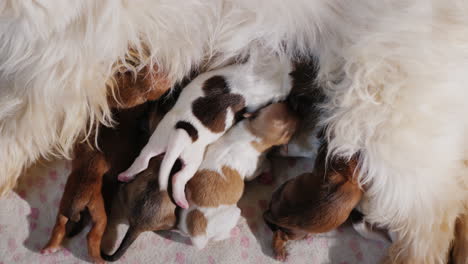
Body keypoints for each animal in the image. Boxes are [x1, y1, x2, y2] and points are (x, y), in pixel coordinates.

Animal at [41, 65, 171, 262]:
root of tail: (80, 196)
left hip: (64, 205)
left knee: (59, 226)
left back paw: (50, 247)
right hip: (98, 212)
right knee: (92, 236)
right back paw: (97, 258)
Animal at [119, 53, 292, 208]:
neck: (262, 75)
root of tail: (183, 133)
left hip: (159, 138)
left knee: (144, 158)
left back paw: (125, 175)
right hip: (193, 159)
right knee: (178, 177)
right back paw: (181, 200)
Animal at [177, 103, 298, 250]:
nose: (295, 108)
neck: (255, 132)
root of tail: (196, 233)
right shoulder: (254, 167)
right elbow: (264, 166)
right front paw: (267, 173)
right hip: (233, 213)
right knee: (219, 237)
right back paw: (234, 231)